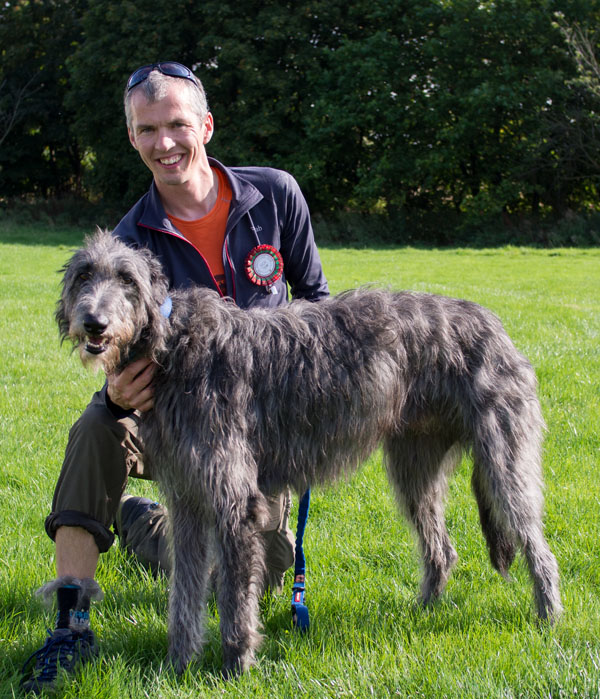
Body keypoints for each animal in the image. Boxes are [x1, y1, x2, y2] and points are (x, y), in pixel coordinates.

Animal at [56, 231, 564, 680]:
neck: (173, 345)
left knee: (535, 542)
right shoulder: (189, 502)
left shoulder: (235, 503)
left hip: (504, 459)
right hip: (413, 469)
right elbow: (184, 592)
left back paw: (549, 617)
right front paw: (177, 664)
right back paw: (424, 609)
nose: (94, 323)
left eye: (127, 279)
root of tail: (493, 323)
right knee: (441, 547)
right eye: (83, 275)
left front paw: (235, 667)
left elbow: (234, 598)